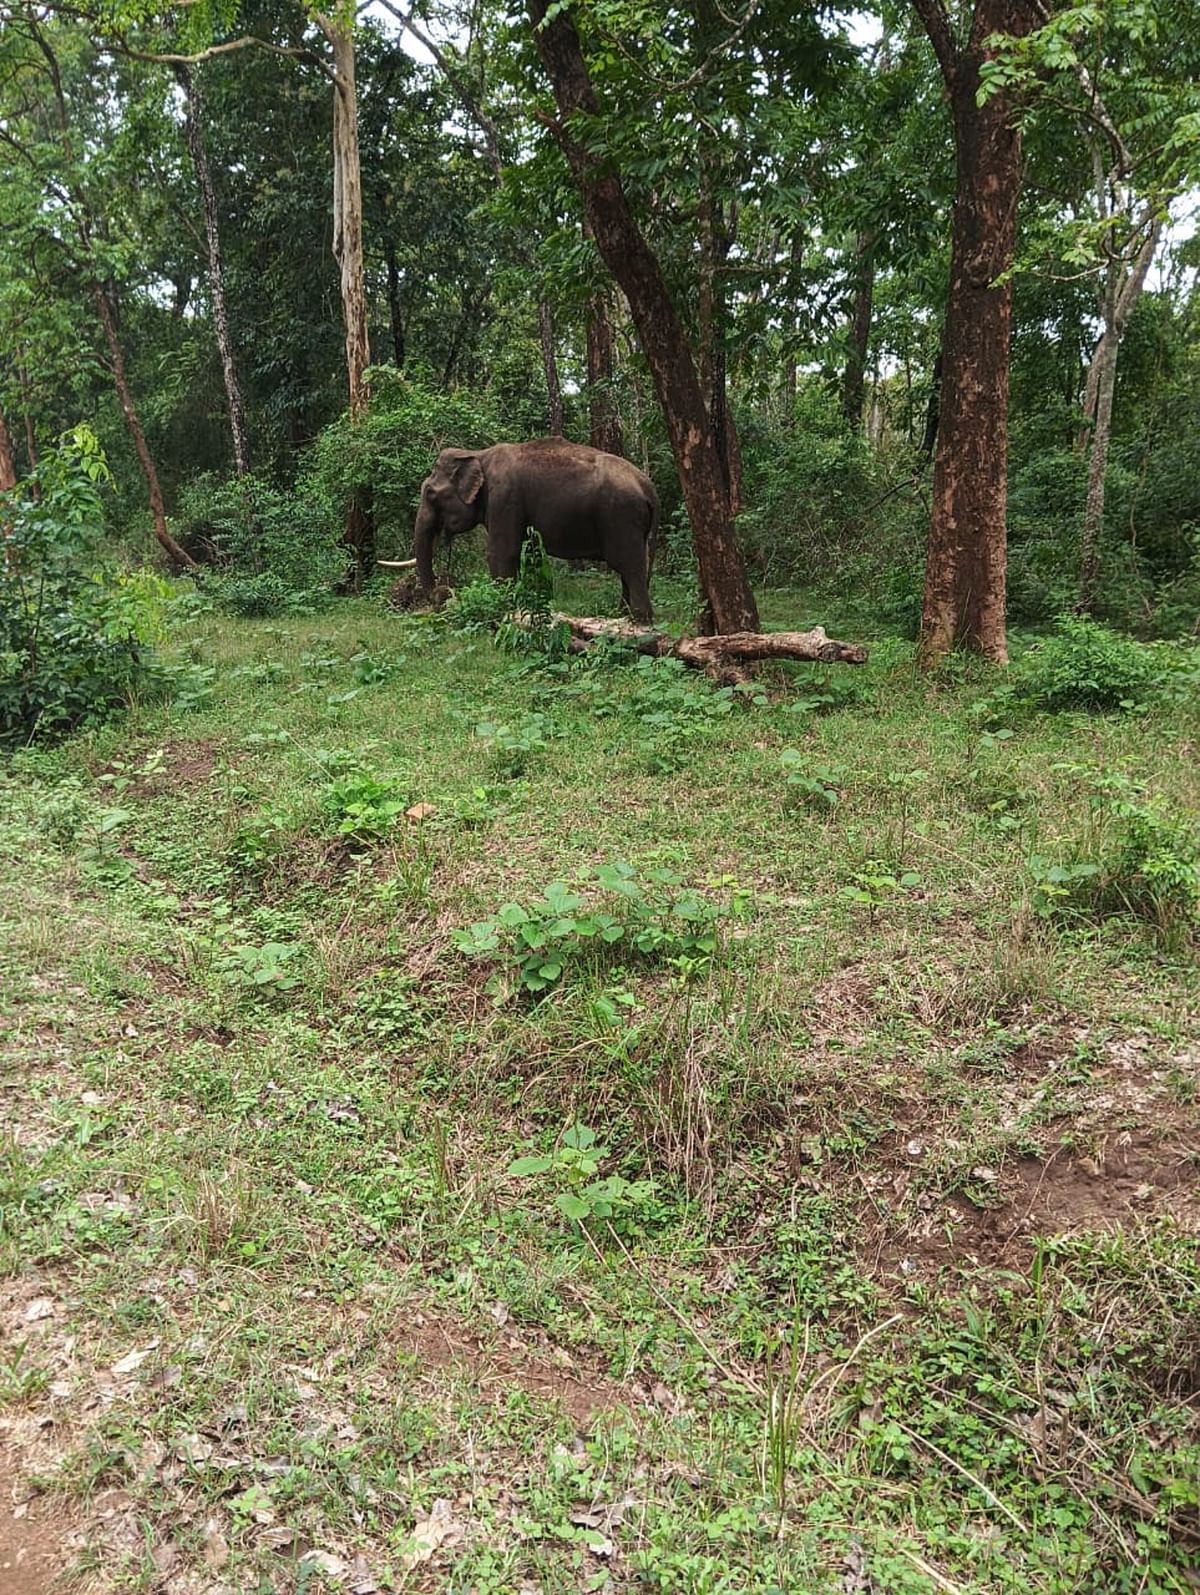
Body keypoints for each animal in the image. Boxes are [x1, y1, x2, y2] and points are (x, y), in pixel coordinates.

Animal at [411, 437, 657, 622]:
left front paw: (504, 611)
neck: (477, 454)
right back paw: (623, 615)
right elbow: (528, 554)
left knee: (629, 565)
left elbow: (502, 554)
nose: (441, 594)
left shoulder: (504, 498)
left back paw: (639, 621)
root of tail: (648, 486)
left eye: (431, 494)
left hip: (621, 516)